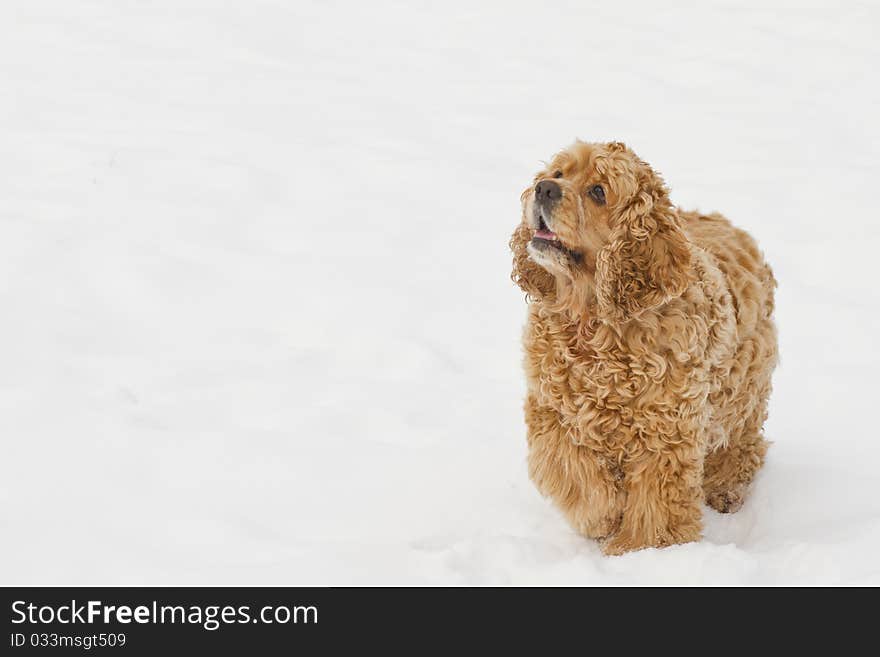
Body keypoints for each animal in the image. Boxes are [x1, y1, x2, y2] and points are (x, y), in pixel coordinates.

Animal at [508, 140, 776, 552]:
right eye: (557, 173)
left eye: (598, 192)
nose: (544, 189)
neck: (595, 322)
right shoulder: (553, 413)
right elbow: (574, 472)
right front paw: (601, 517)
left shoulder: (666, 434)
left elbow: (657, 507)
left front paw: (640, 549)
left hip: (743, 393)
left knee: (742, 445)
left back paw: (726, 489)